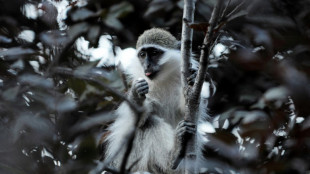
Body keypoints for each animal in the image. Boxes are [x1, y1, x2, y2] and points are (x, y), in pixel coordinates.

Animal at [103, 27, 208, 173]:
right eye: (142, 55)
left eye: (154, 53)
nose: (146, 65)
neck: (161, 80)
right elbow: (134, 121)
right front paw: (136, 94)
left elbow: (190, 110)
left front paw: (193, 77)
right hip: (132, 160)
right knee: (149, 123)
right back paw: (173, 155)